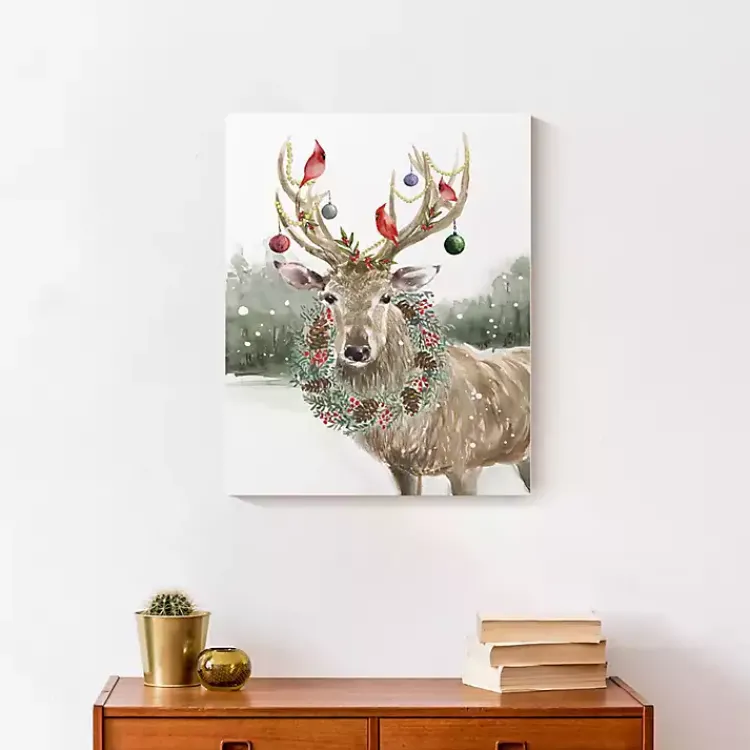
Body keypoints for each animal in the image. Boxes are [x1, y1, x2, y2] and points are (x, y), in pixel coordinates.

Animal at [271, 134, 531, 495]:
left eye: (386, 296)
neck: (413, 430)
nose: (356, 349)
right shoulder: (401, 467)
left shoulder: (468, 461)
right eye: (329, 296)